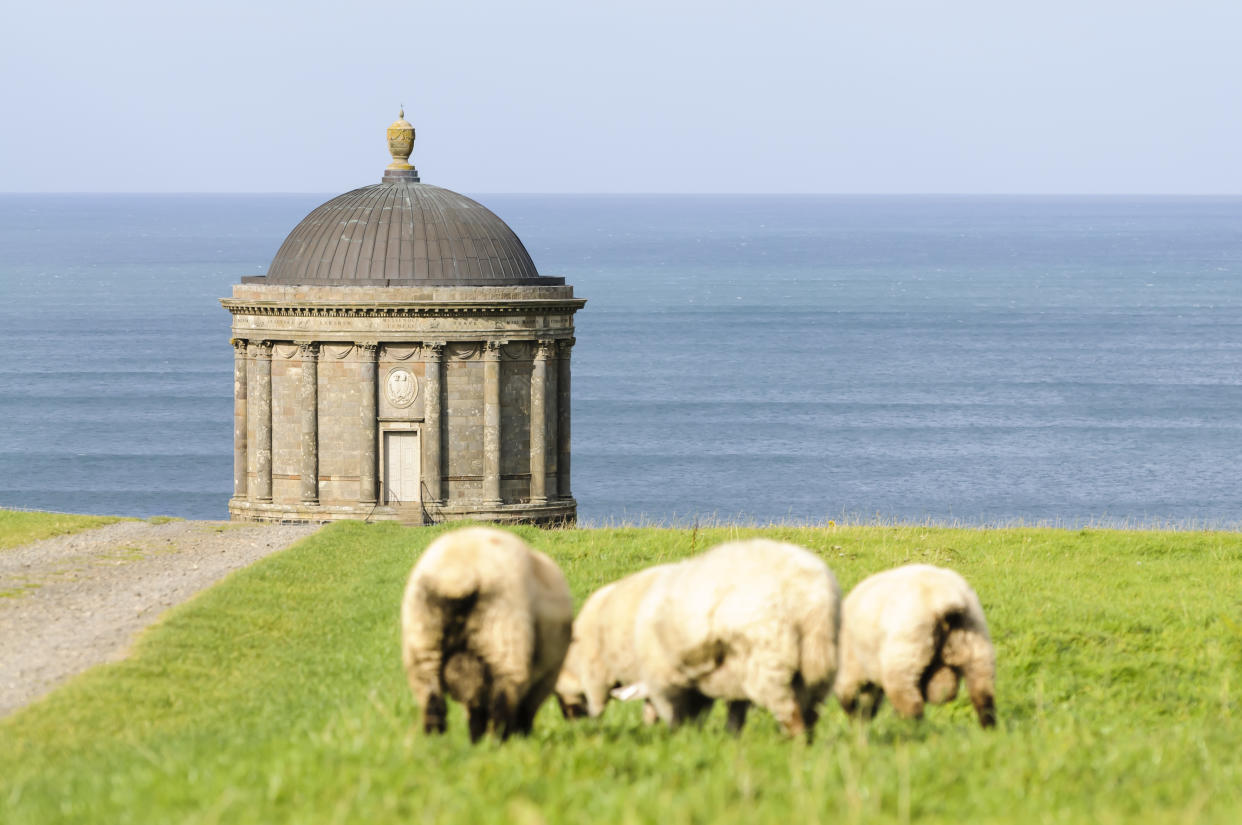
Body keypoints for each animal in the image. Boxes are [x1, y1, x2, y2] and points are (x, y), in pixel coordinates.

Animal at [397, 524, 571, 745]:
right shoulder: (545, 677)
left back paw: (436, 743)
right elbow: (523, 710)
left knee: (432, 700)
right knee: (502, 700)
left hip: (423, 645)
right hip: (503, 639)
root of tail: (458, 574)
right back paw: (497, 742)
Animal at [630, 539, 844, 735]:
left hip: (771, 658)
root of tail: (812, 599)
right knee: (811, 709)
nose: (647, 725)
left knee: (790, 712)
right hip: (817, 659)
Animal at [834, 561, 998, 730]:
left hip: (905, 655)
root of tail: (946, 602)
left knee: (911, 705)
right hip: (976, 645)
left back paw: (915, 730)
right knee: (983, 695)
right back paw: (989, 730)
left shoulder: (851, 669)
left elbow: (849, 698)